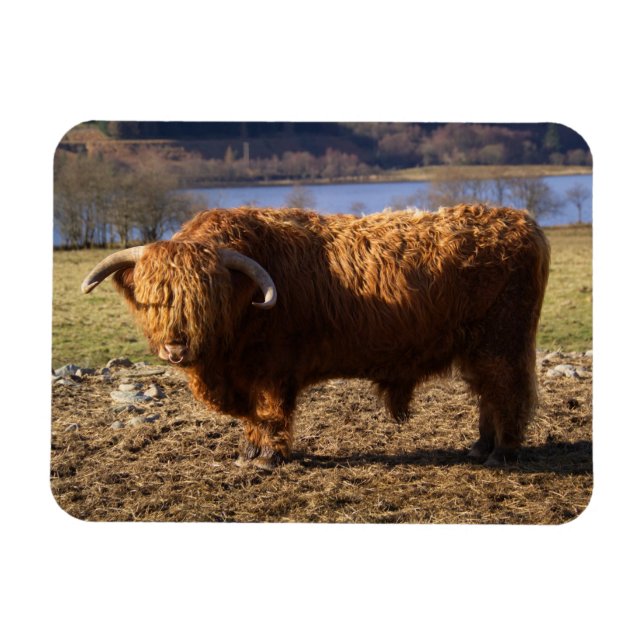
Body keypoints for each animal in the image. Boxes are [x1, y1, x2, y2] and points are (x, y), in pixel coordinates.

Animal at [81, 204, 550, 470]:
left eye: (207, 298)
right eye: (154, 298)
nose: (176, 347)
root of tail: (523, 221)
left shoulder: (273, 370)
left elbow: (270, 413)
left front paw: (269, 459)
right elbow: (252, 418)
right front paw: (249, 453)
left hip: (502, 342)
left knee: (507, 392)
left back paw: (502, 453)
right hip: (478, 347)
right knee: (487, 394)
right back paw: (479, 447)